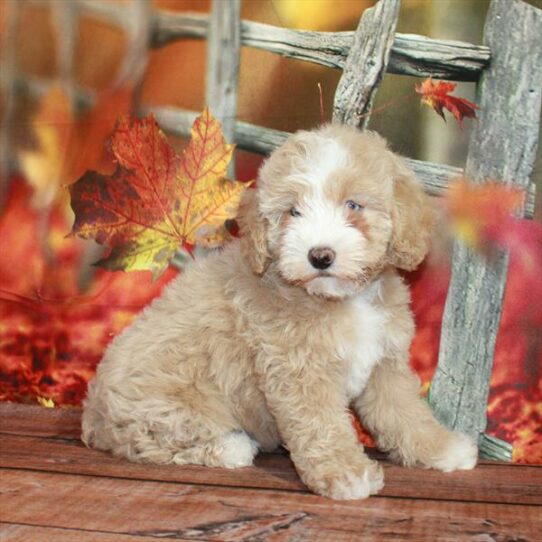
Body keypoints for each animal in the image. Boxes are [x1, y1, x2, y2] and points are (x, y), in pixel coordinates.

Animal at [82, 124, 480, 502]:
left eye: (353, 205)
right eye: (294, 212)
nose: (320, 256)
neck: (341, 298)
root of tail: (93, 413)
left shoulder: (385, 363)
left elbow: (404, 412)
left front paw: (441, 448)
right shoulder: (300, 372)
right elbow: (322, 426)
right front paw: (346, 474)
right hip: (163, 408)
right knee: (152, 442)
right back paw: (232, 447)